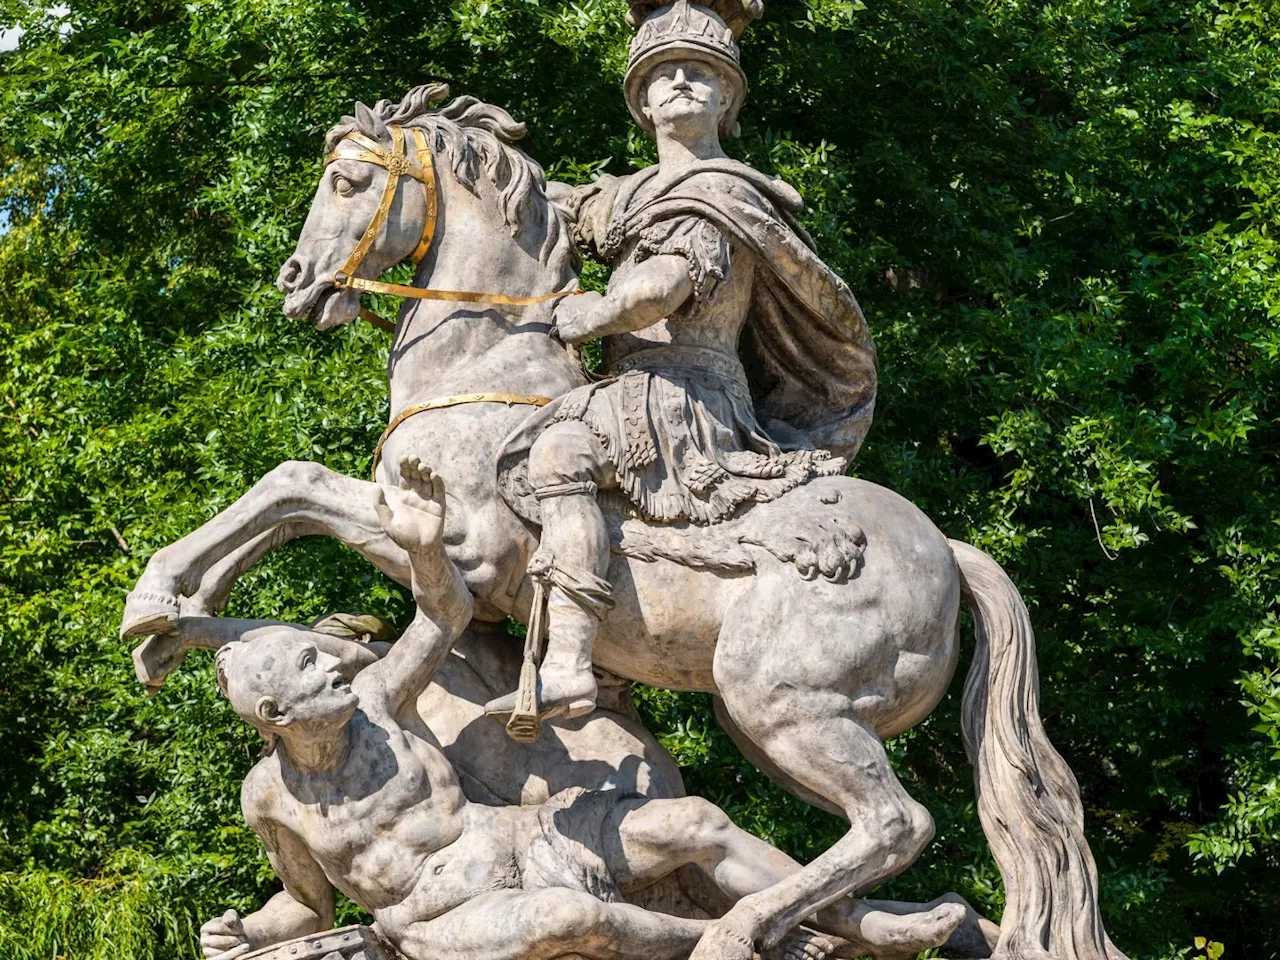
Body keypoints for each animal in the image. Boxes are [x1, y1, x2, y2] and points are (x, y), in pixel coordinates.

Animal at [117, 84, 1121, 960]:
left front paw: (154, 598)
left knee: (894, 822)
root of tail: (948, 550)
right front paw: (173, 622)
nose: (296, 282)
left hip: (780, 704)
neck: (484, 365)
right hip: (783, 725)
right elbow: (290, 502)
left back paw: (737, 931)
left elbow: (296, 486)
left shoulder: (463, 548)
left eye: (350, 182)